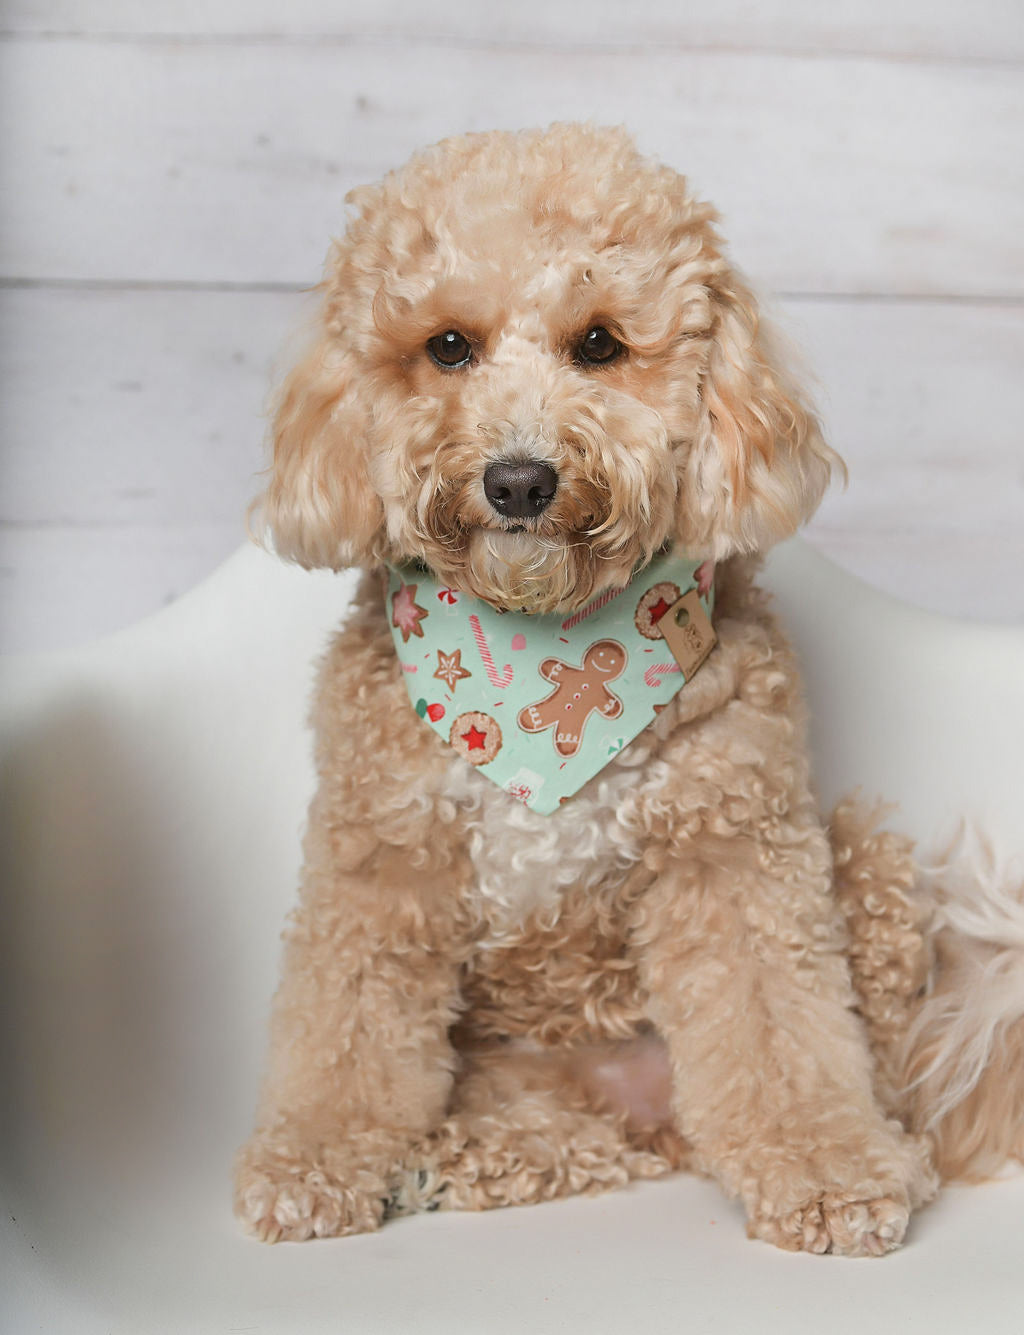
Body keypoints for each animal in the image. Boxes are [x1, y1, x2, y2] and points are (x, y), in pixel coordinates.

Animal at [234, 122, 1024, 1249]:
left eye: (600, 343)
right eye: (448, 347)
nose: (520, 481)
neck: (540, 642)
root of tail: (653, 1109)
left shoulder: (734, 851)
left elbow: (779, 1032)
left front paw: (826, 1170)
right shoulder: (383, 858)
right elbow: (345, 1031)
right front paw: (310, 1165)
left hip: (860, 864)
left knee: (873, 1097)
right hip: (522, 1071)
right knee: (555, 1134)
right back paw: (457, 1159)